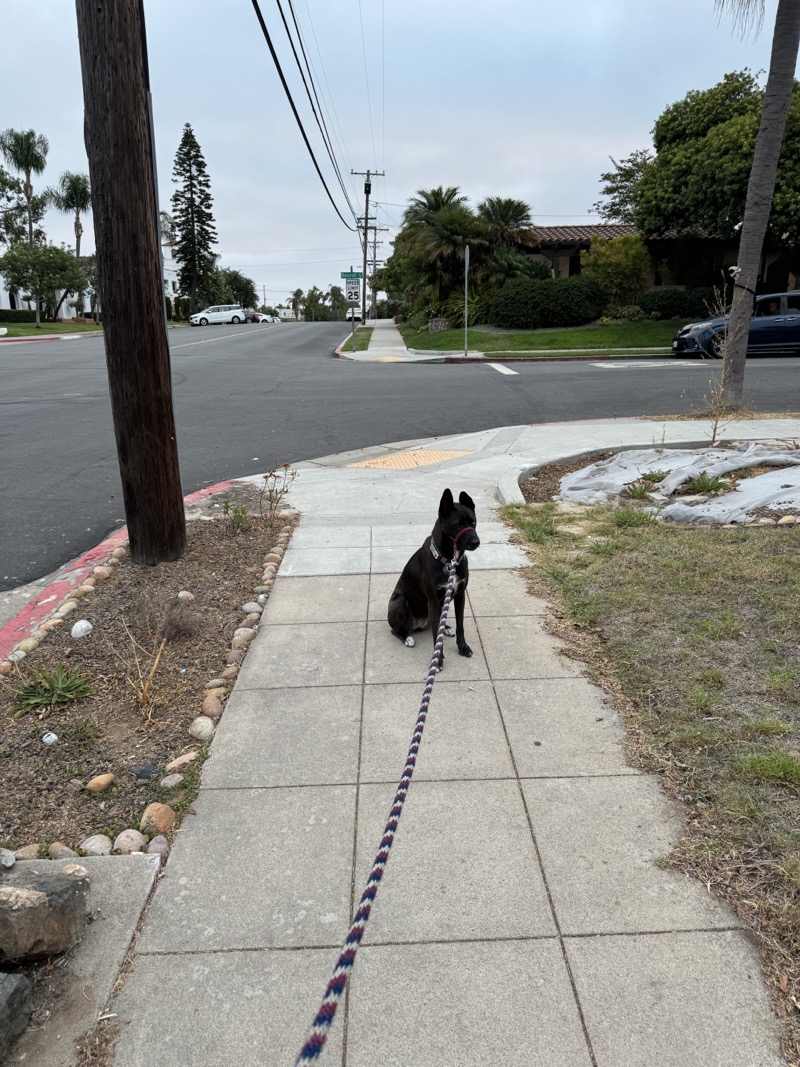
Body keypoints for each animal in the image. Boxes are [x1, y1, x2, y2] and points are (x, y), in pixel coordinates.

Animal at [390, 488, 482, 665]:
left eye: (473, 522)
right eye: (458, 525)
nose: (476, 542)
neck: (449, 561)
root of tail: (418, 624)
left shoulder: (460, 595)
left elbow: (460, 625)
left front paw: (463, 647)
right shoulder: (432, 601)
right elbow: (435, 635)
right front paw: (438, 660)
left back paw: (446, 628)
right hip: (400, 601)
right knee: (395, 630)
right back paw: (407, 638)